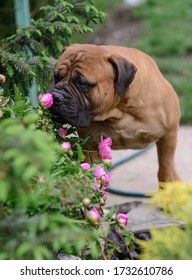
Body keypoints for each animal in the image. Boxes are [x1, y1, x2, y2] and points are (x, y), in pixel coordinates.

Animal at [50, 43, 181, 183]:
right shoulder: (90, 147)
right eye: (56, 77)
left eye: (82, 83)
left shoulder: (169, 135)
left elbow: (165, 170)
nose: (55, 96)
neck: (119, 111)